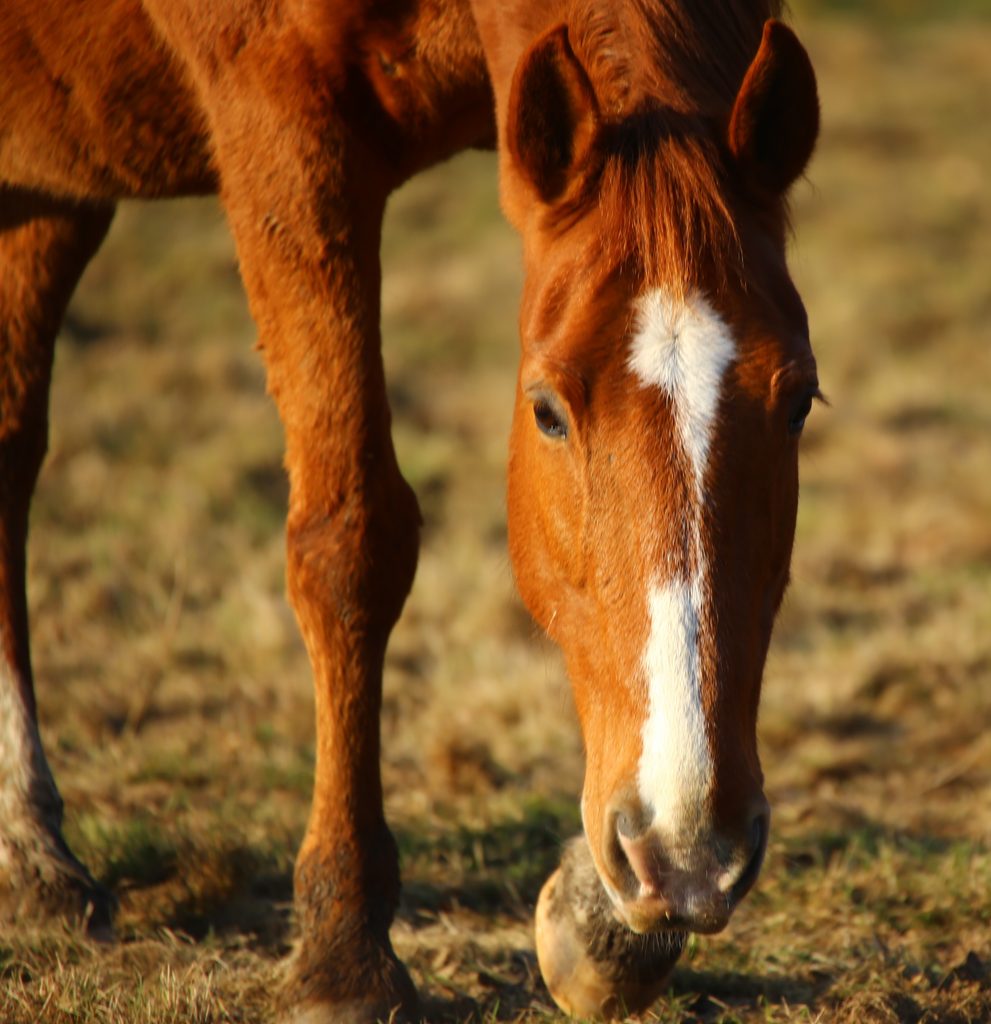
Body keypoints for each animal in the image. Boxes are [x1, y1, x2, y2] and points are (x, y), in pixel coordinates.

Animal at [0, 0, 819, 1019]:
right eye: (546, 411)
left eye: (799, 401)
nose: (690, 848)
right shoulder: (286, 136)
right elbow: (351, 538)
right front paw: (343, 950)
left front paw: (603, 921)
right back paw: (34, 850)